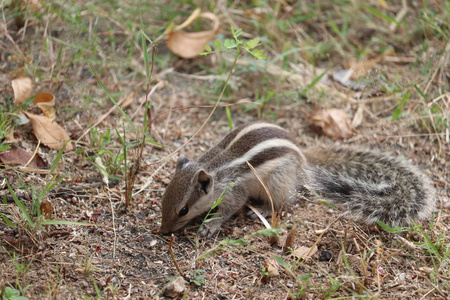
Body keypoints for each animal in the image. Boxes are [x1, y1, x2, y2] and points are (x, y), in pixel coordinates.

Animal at [159, 120, 436, 236]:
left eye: (183, 210)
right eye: (162, 200)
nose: (163, 231)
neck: (216, 169)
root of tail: (303, 159)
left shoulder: (234, 190)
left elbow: (229, 209)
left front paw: (210, 225)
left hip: (278, 182)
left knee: (287, 201)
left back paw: (263, 209)